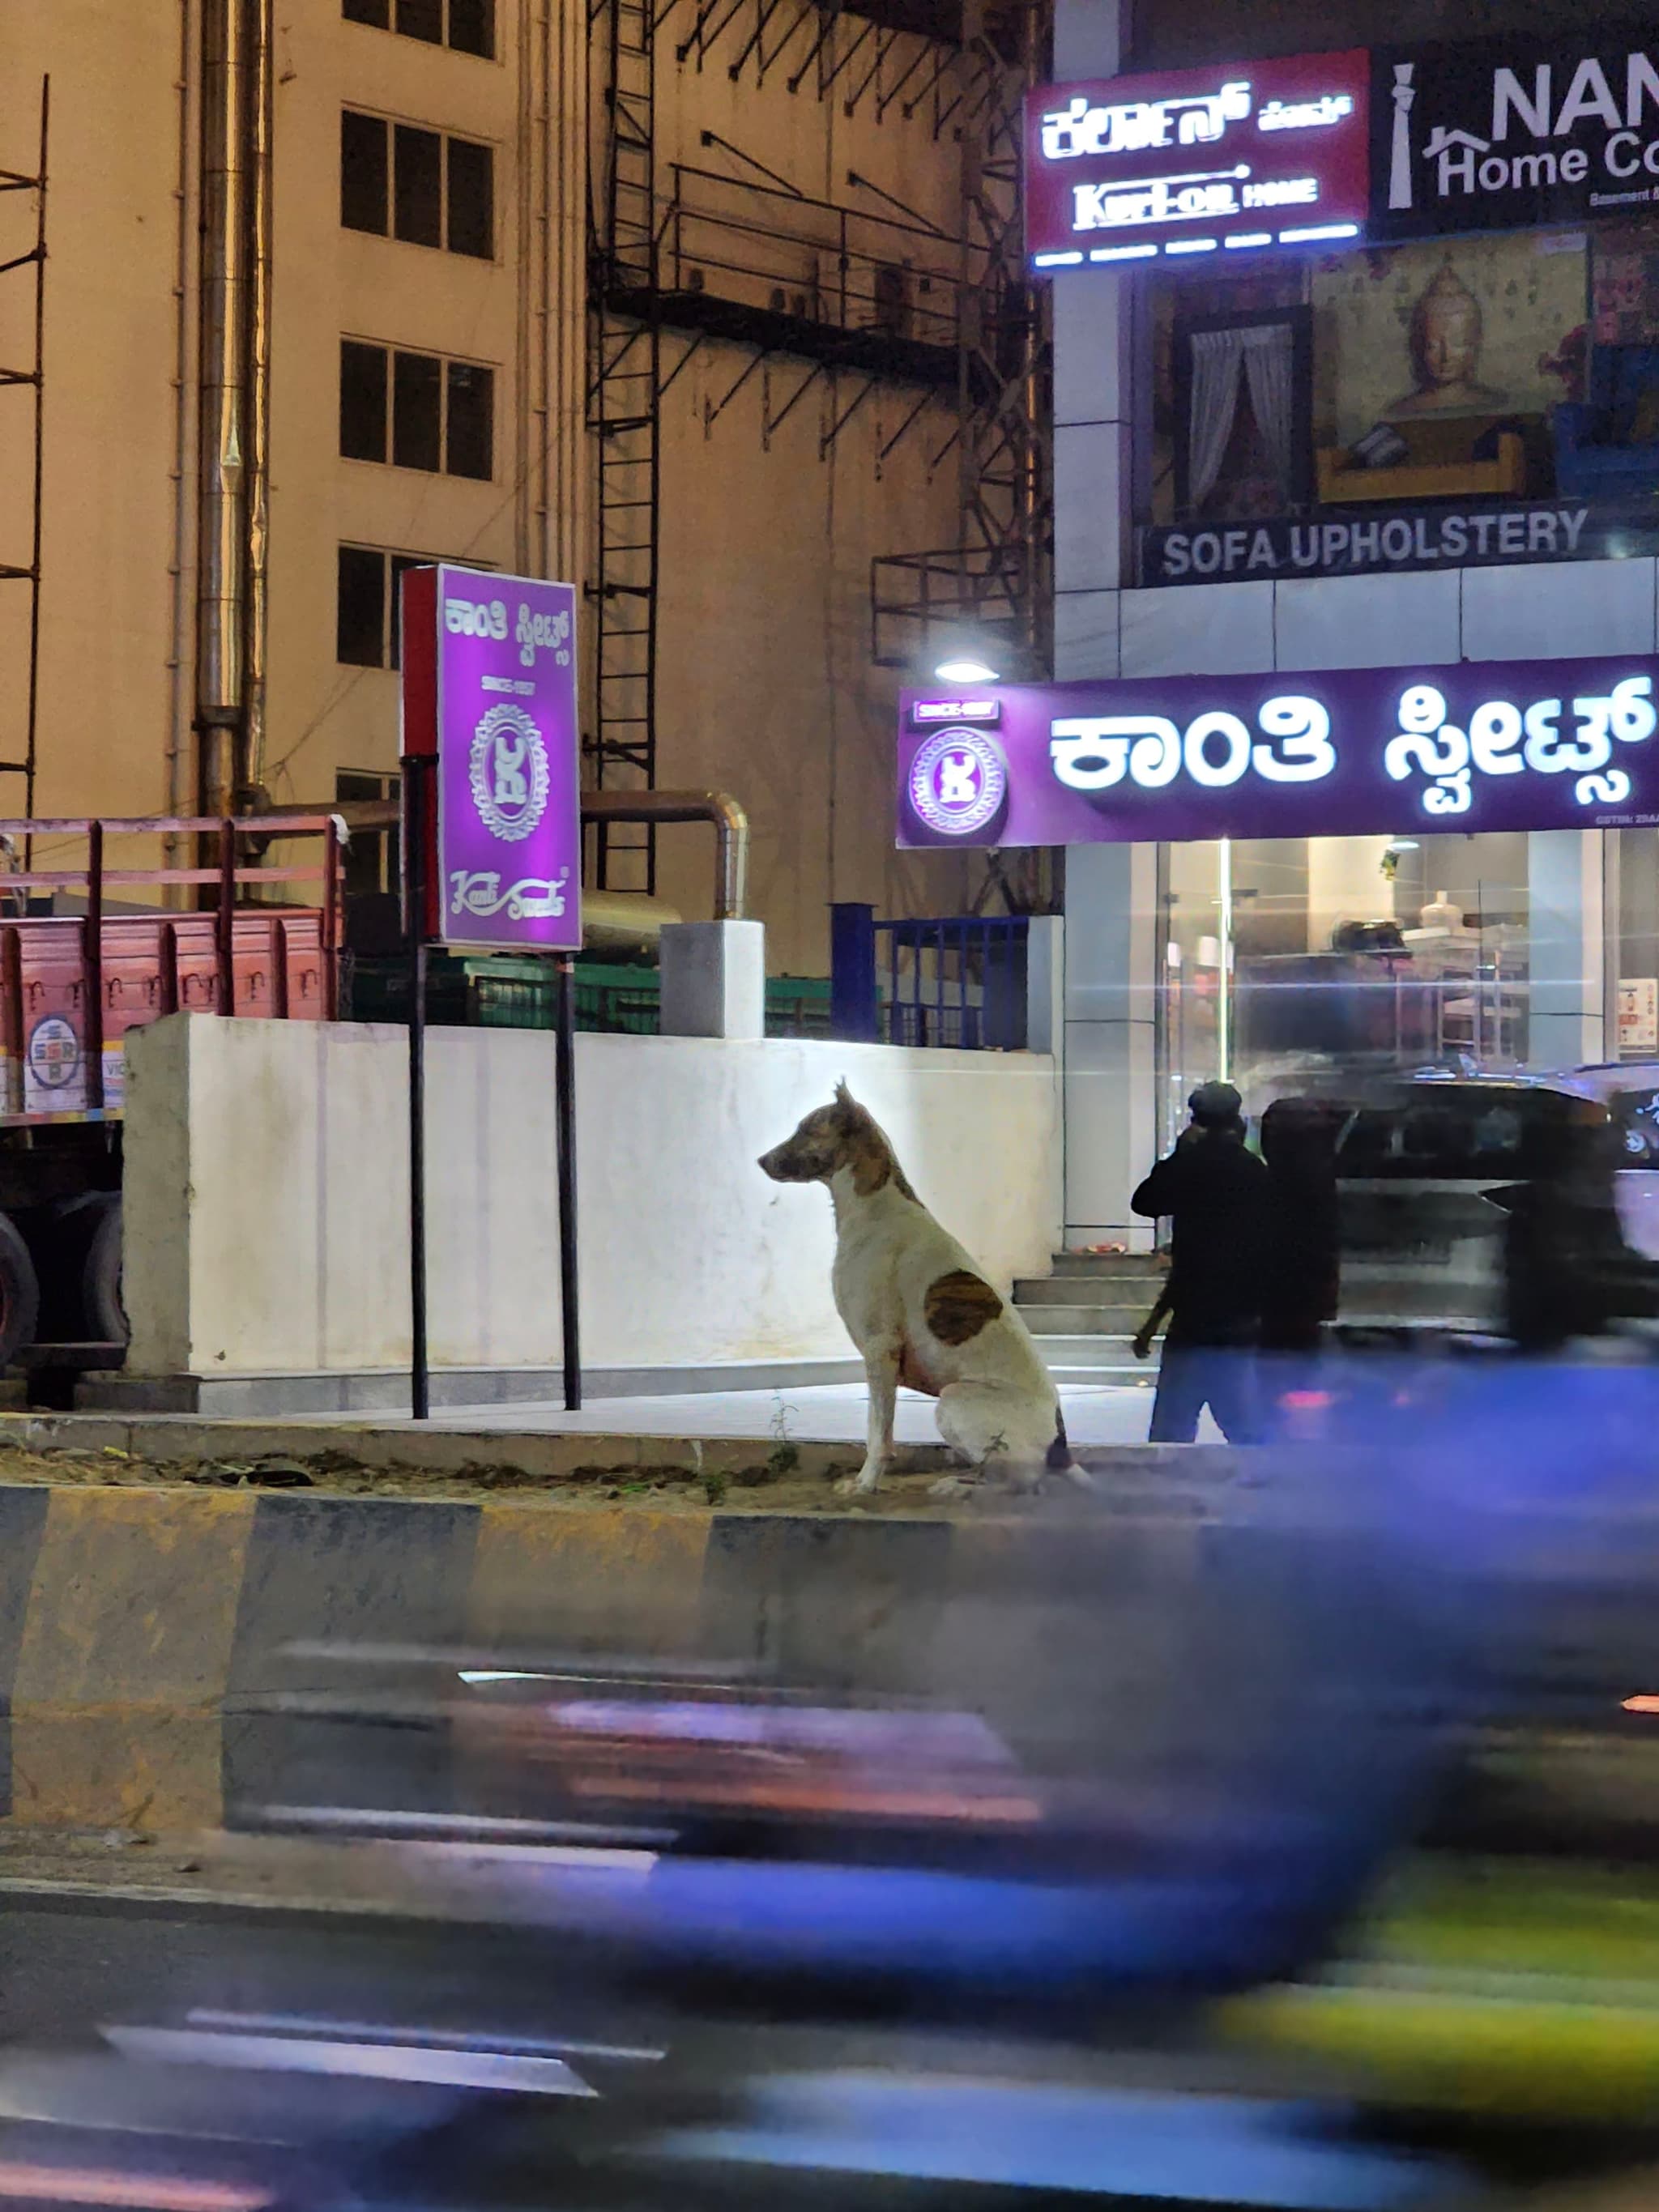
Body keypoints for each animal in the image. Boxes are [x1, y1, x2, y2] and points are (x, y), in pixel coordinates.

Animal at [756, 1079, 1092, 1495]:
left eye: (806, 1129)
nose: (761, 1160)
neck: (878, 1210)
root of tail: (1060, 1448)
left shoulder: (880, 1350)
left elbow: (878, 1435)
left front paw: (865, 1484)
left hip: (953, 1400)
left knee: (1019, 1485)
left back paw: (960, 1489)